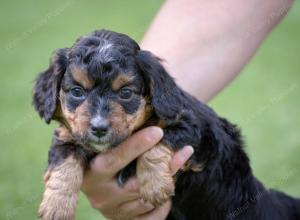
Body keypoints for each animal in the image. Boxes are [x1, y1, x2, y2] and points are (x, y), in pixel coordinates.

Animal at [33, 29, 300, 220]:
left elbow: (160, 138)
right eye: (77, 91)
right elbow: (64, 161)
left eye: (126, 93)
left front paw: (154, 185)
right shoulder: (68, 135)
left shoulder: (196, 131)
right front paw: (56, 206)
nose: (98, 128)